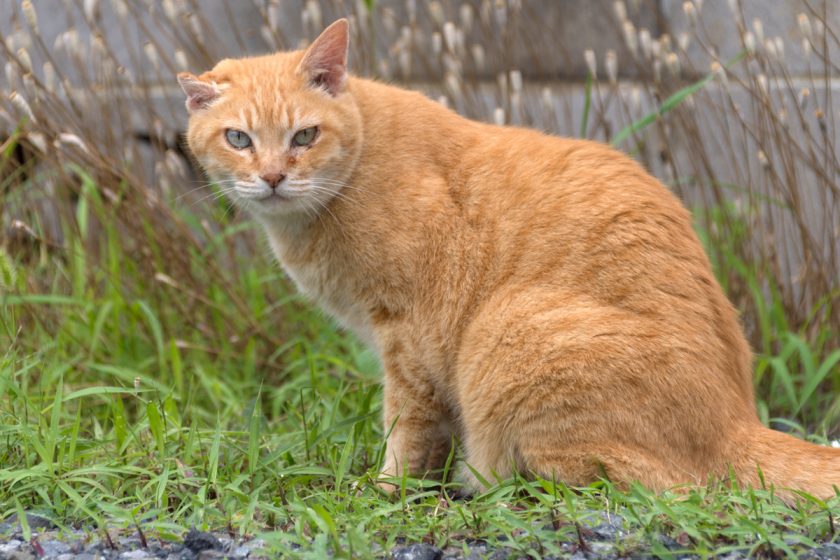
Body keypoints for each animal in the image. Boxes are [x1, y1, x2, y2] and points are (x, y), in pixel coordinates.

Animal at [179, 19, 840, 496]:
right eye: (238, 139)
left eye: (304, 136)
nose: (272, 177)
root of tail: (738, 422)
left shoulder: (408, 341)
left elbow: (405, 427)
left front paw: (388, 490)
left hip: (508, 325)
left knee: (631, 483)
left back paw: (488, 483)